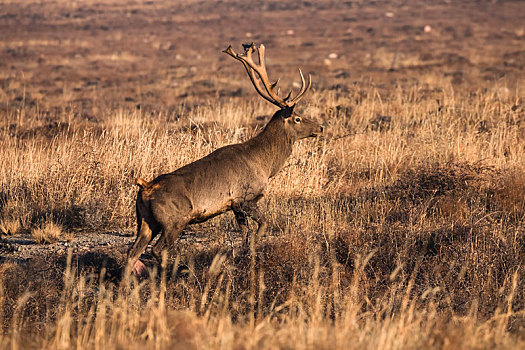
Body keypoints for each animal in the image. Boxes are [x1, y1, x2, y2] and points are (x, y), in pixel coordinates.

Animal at [127, 43, 324, 278]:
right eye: (298, 118)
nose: (321, 127)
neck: (265, 165)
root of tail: (145, 187)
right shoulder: (243, 198)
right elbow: (262, 226)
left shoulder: (234, 207)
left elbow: (245, 235)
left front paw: (244, 256)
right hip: (174, 220)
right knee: (157, 249)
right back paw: (173, 275)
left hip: (145, 221)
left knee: (133, 251)